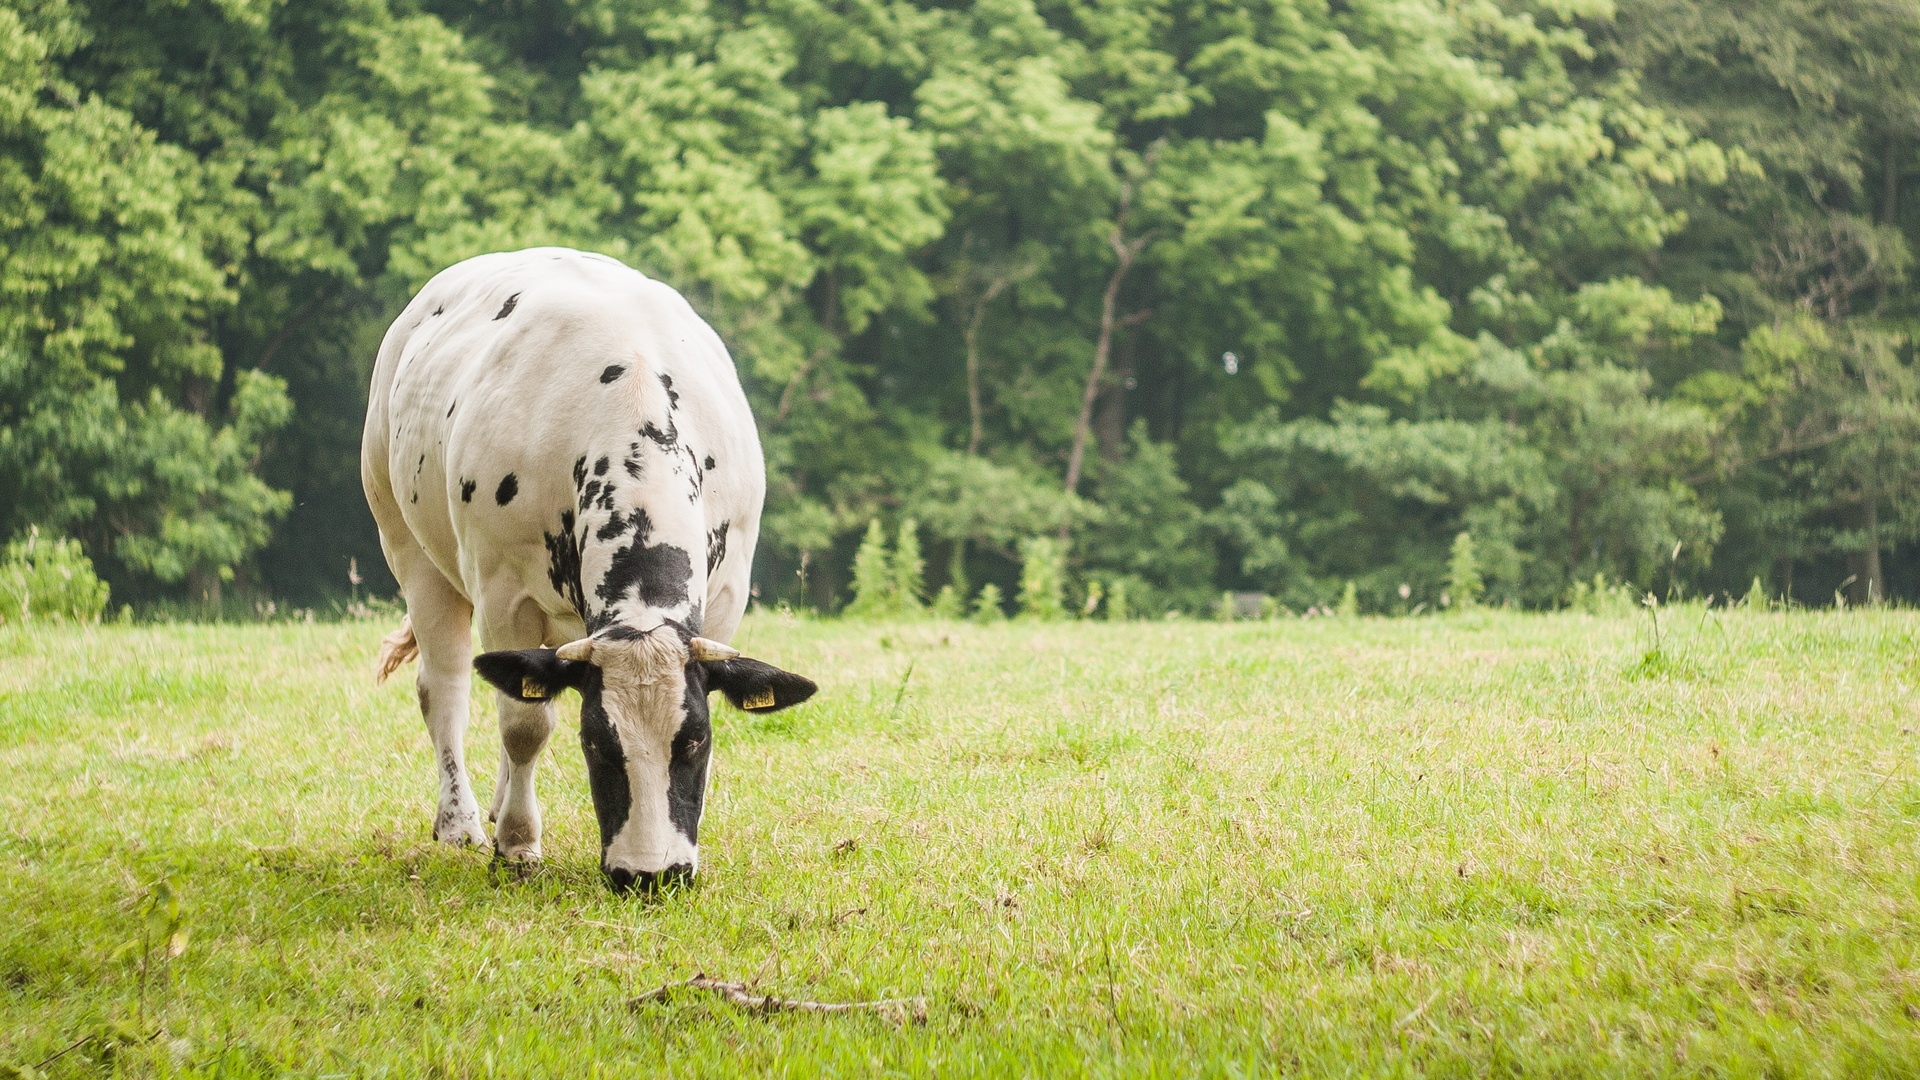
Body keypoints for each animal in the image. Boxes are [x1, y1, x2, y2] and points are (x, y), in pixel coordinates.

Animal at [362, 245, 814, 891]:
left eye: (694, 741)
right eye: (597, 744)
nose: (650, 875)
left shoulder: (726, 596)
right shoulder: (504, 594)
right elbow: (525, 724)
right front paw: (517, 845)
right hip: (409, 547)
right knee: (447, 687)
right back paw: (462, 821)